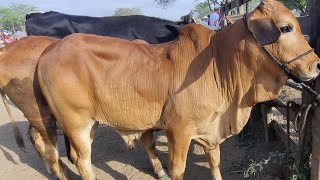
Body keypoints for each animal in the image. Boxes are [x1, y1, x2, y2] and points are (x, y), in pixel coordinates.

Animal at [35, 0, 320, 179]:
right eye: (285, 28)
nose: (316, 64)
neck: (220, 64)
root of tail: (48, 51)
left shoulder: (211, 130)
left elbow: (215, 163)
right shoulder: (179, 132)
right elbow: (178, 169)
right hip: (76, 123)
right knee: (82, 161)